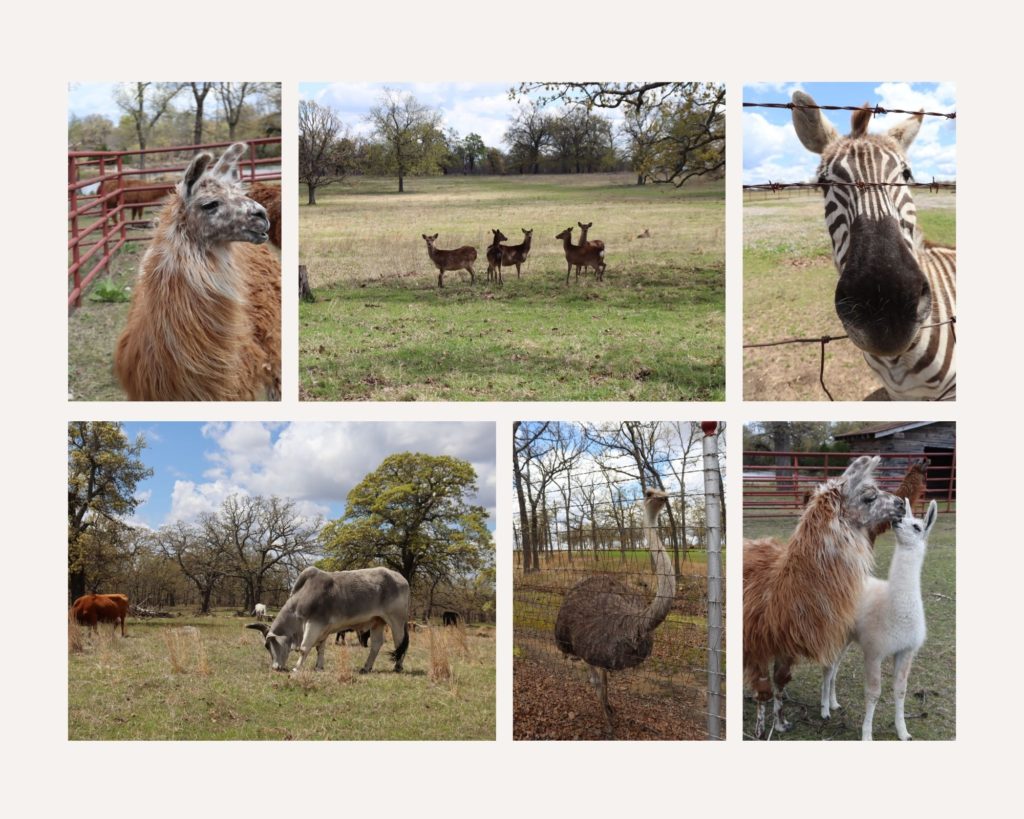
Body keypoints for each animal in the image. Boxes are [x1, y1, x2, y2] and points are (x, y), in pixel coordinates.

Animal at [245, 565, 409, 675]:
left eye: (267, 645)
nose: (275, 667)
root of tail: (401, 578)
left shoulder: (313, 624)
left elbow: (304, 648)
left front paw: (296, 668)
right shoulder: (323, 629)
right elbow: (320, 648)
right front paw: (319, 667)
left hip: (397, 620)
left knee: (400, 644)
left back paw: (398, 667)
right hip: (378, 621)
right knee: (376, 645)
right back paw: (366, 667)